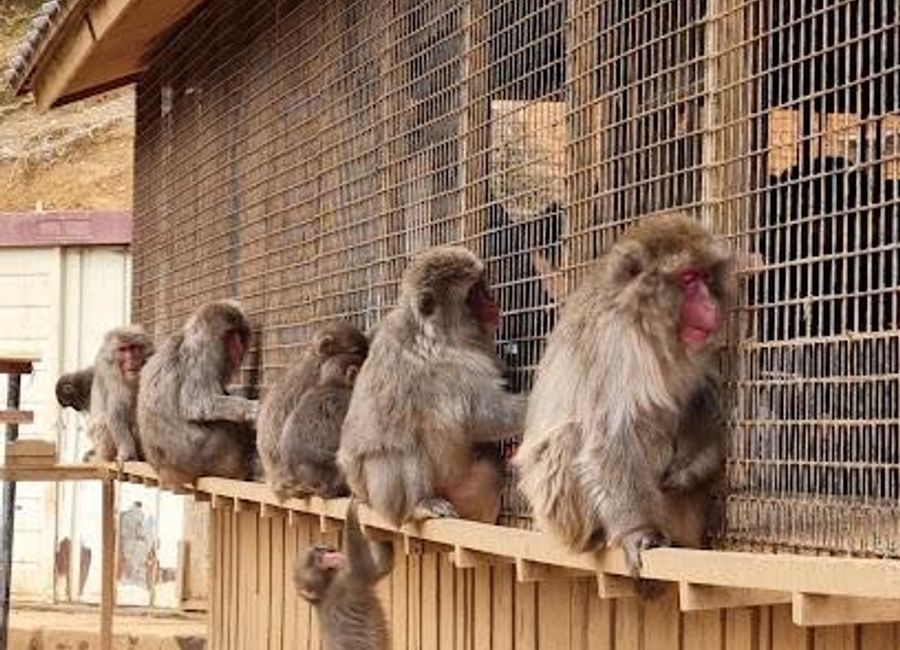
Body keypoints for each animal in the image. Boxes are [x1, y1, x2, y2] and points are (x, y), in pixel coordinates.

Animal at [84, 326, 155, 463]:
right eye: (123, 349)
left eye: (133, 348)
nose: (131, 360)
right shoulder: (111, 374)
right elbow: (116, 412)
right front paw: (127, 453)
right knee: (103, 422)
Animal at [137, 300, 259, 486]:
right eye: (230, 335)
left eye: (239, 334)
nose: (238, 346)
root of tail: (166, 470)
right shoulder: (201, 359)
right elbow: (198, 404)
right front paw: (251, 408)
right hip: (204, 456)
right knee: (224, 425)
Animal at [294, 499, 392, 650]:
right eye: (320, 559)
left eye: (320, 550)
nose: (330, 552)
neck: (325, 590)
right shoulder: (346, 583)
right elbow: (370, 568)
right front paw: (352, 508)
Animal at [337, 246, 525, 526]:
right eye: (474, 293)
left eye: (483, 286)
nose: (492, 302)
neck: (438, 333)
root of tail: (364, 496)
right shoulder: (451, 365)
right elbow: (484, 416)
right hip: (383, 497)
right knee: (401, 439)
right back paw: (420, 504)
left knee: (492, 466)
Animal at [514, 213, 733, 583]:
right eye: (688, 279)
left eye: (706, 276)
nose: (710, 305)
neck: (642, 322)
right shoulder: (612, 344)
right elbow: (610, 438)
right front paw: (638, 531)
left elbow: (697, 397)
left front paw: (694, 466)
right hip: (556, 506)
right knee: (577, 437)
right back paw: (603, 533)